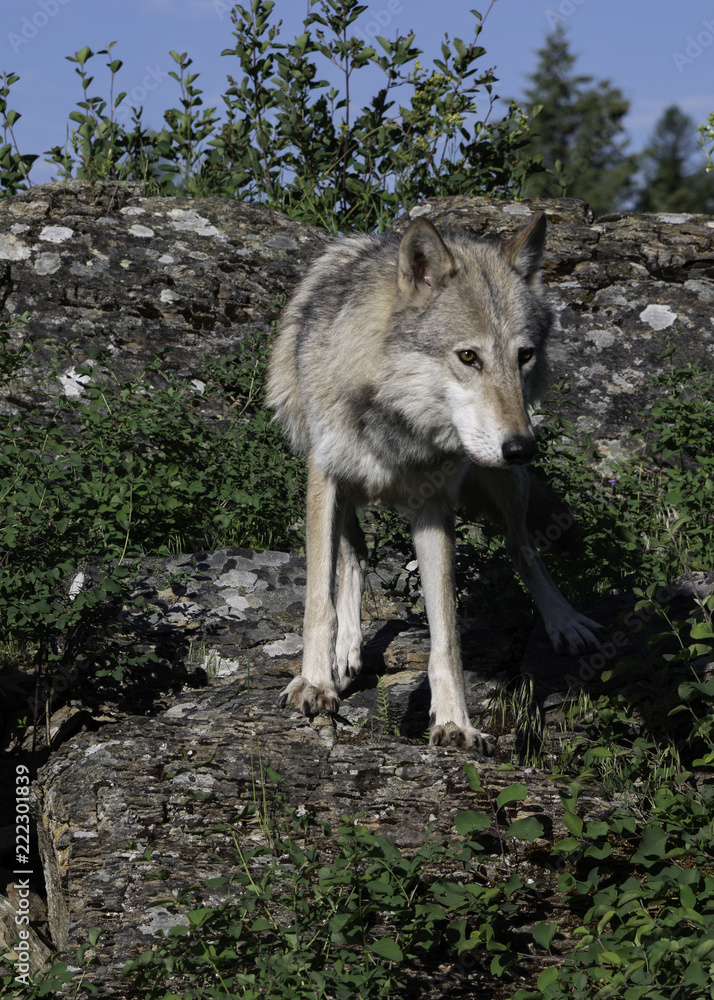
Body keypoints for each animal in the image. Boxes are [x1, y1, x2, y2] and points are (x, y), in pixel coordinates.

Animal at [267, 211, 600, 751]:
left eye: (524, 356)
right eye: (467, 357)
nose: (521, 447)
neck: (399, 420)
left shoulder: (434, 509)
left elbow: (446, 632)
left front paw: (454, 723)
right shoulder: (325, 476)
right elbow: (319, 596)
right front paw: (314, 683)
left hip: (507, 486)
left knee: (523, 548)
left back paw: (564, 621)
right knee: (354, 554)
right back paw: (344, 652)